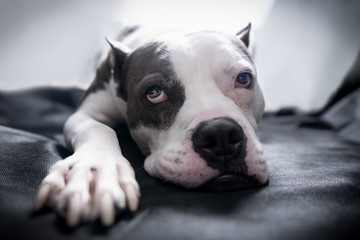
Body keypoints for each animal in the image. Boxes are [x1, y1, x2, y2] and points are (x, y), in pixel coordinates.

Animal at [33, 23, 268, 227]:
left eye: (244, 78)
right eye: (154, 93)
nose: (220, 134)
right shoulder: (86, 112)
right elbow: (98, 127)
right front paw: (95, 171)